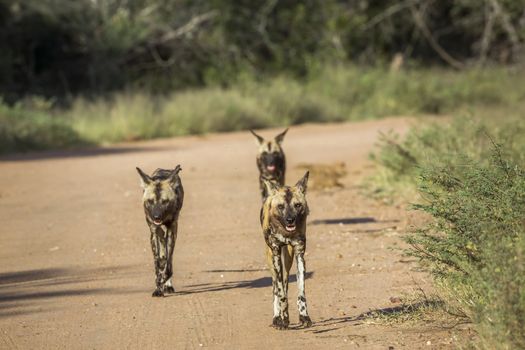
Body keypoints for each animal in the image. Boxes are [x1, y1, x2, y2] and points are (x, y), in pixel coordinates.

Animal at [136, 165, 183, 296]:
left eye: (165, 201)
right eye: (150, 201)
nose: (156, 217)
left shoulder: (172, 230)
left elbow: (168, 263)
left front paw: (164, 280)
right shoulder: (153, 230)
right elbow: (158, 263)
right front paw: (158, 288)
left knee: (168, 258)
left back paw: (168, 284)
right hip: (157, 232)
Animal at [258, 171, 310, 330]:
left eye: (297, 205)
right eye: (280, 206)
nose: (290, 220)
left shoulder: (299, 255)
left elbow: (301, 292)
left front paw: (304, 317)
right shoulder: (275, 254)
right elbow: (280, 293)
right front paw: (282, 319)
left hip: (288, 259)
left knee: (285, 282)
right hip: (271, 259)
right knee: (276, 287)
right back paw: (277, 317)